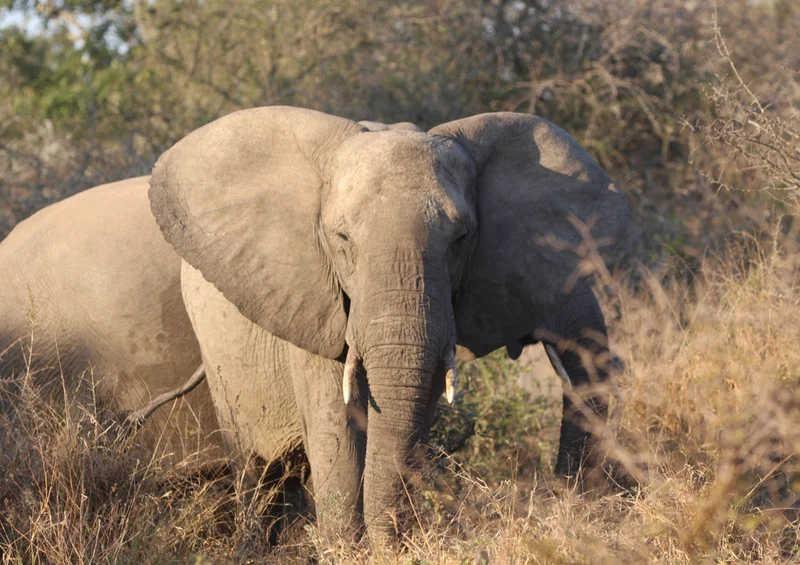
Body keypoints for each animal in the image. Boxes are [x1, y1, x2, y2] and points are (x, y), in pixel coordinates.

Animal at [148, 106, 630, 541]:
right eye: (342, 239)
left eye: (461, 240)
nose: (561, 496)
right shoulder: (312, 304)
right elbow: (336, 425)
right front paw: (346, 548)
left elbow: (415, 411)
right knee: (254, 469)